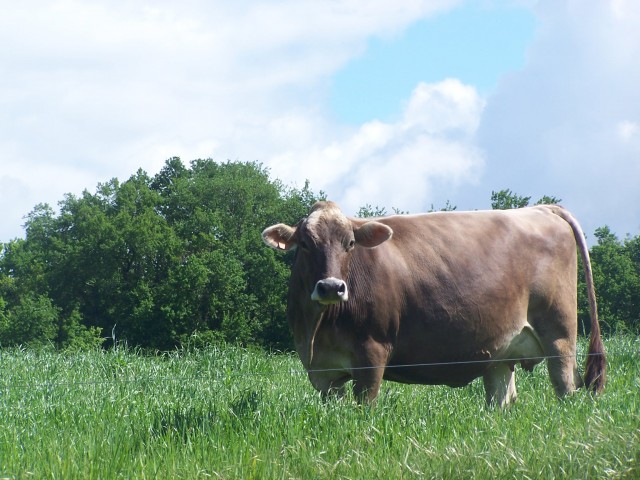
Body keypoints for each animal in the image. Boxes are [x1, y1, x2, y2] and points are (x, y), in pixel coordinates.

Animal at [262, 201, 604, 406]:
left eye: (350, 244)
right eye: (306, 244)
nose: (332, 287)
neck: (317, 332)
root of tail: (540, 208)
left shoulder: (372, 353)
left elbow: (365, 407)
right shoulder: (325, 374)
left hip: (559, 334)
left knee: (565, 385)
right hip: (500, 351)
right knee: (501, 398)